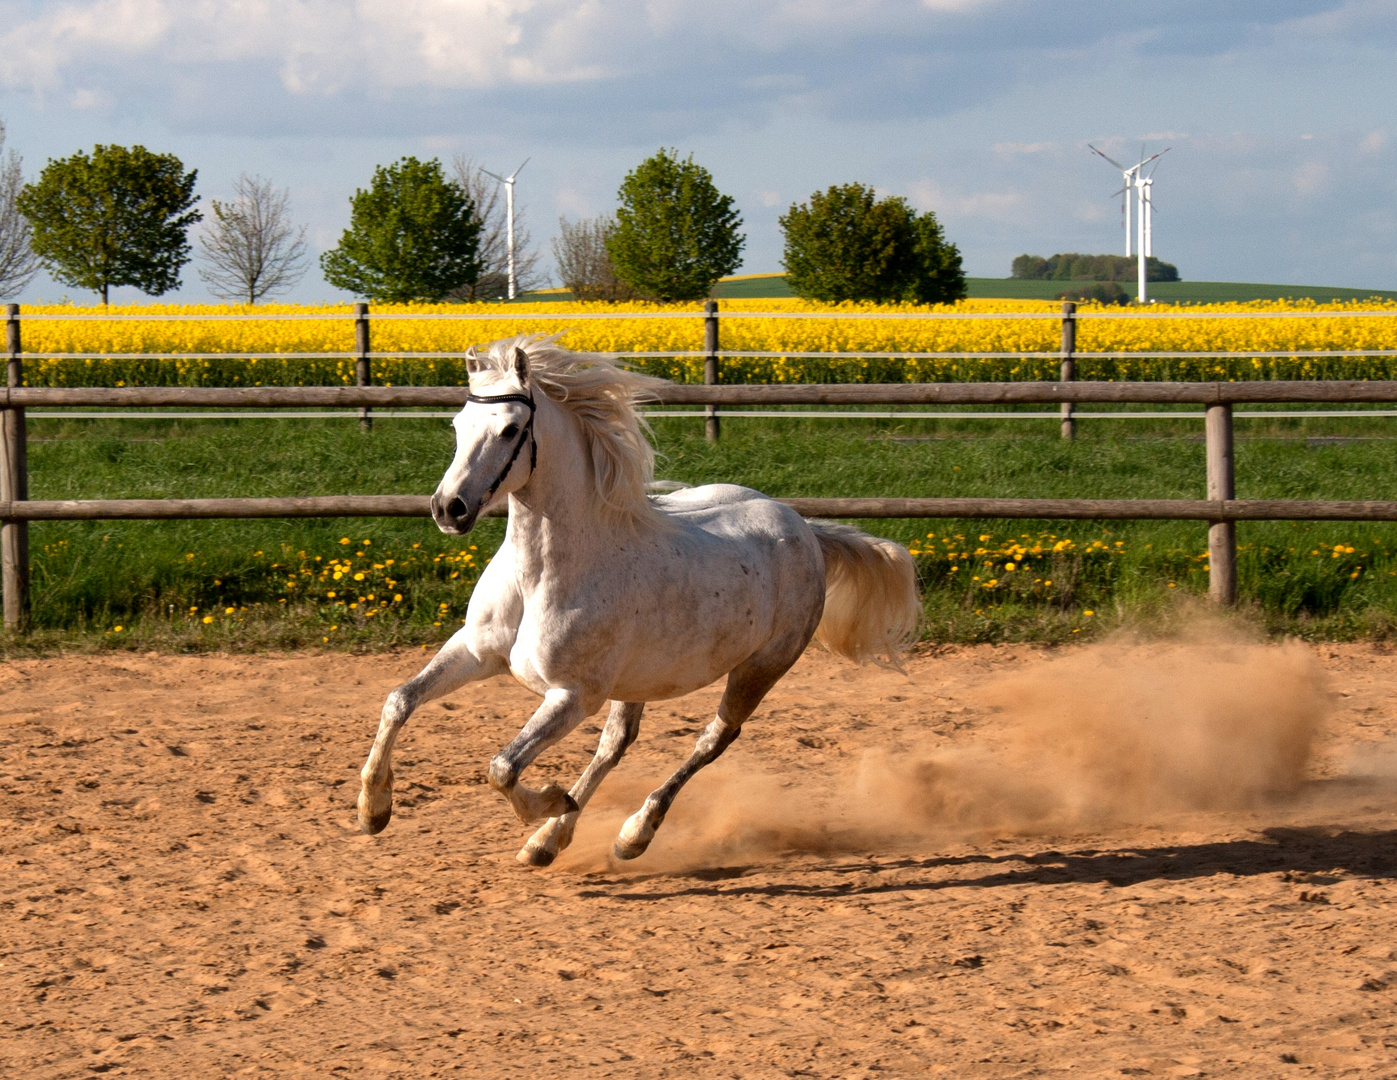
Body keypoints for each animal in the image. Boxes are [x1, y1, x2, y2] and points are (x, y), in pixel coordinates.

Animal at [354, 340, 922, 866]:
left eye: (511, 430)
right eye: (457, 424)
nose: (448, 509)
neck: (544, 576)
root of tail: (805, 528)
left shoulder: (572, 696)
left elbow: (503, 768)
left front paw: (550, 800)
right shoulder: (476, 651)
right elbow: (399, 700)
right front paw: (373, 811)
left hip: (761, 668)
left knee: (713, 740)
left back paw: (631, 834)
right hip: (638, 680)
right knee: (616, 744)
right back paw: (548, 842)